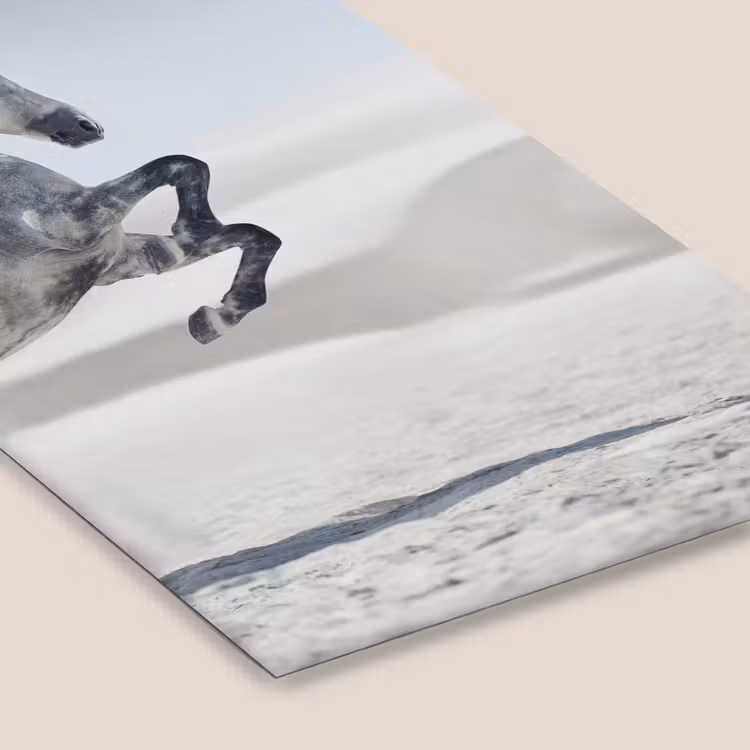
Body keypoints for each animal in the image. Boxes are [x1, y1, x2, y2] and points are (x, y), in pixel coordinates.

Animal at [0, 74, 281, 360]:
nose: (87, 125)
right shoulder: (74, 222)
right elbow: (177, 165)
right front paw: (196, 227)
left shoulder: (125, 259)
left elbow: (258, 236)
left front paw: (213, 319)